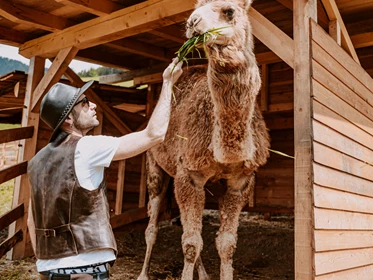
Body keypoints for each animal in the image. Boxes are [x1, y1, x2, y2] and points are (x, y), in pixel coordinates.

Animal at [136, 1, 268, 278]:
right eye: (196, 8)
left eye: (229, 11)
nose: (192, 22)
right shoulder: (190, 174)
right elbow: (190, 244)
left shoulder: (240, 181)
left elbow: (226, 244)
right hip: (155, 165)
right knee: (152, 226)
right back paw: (143, 273)